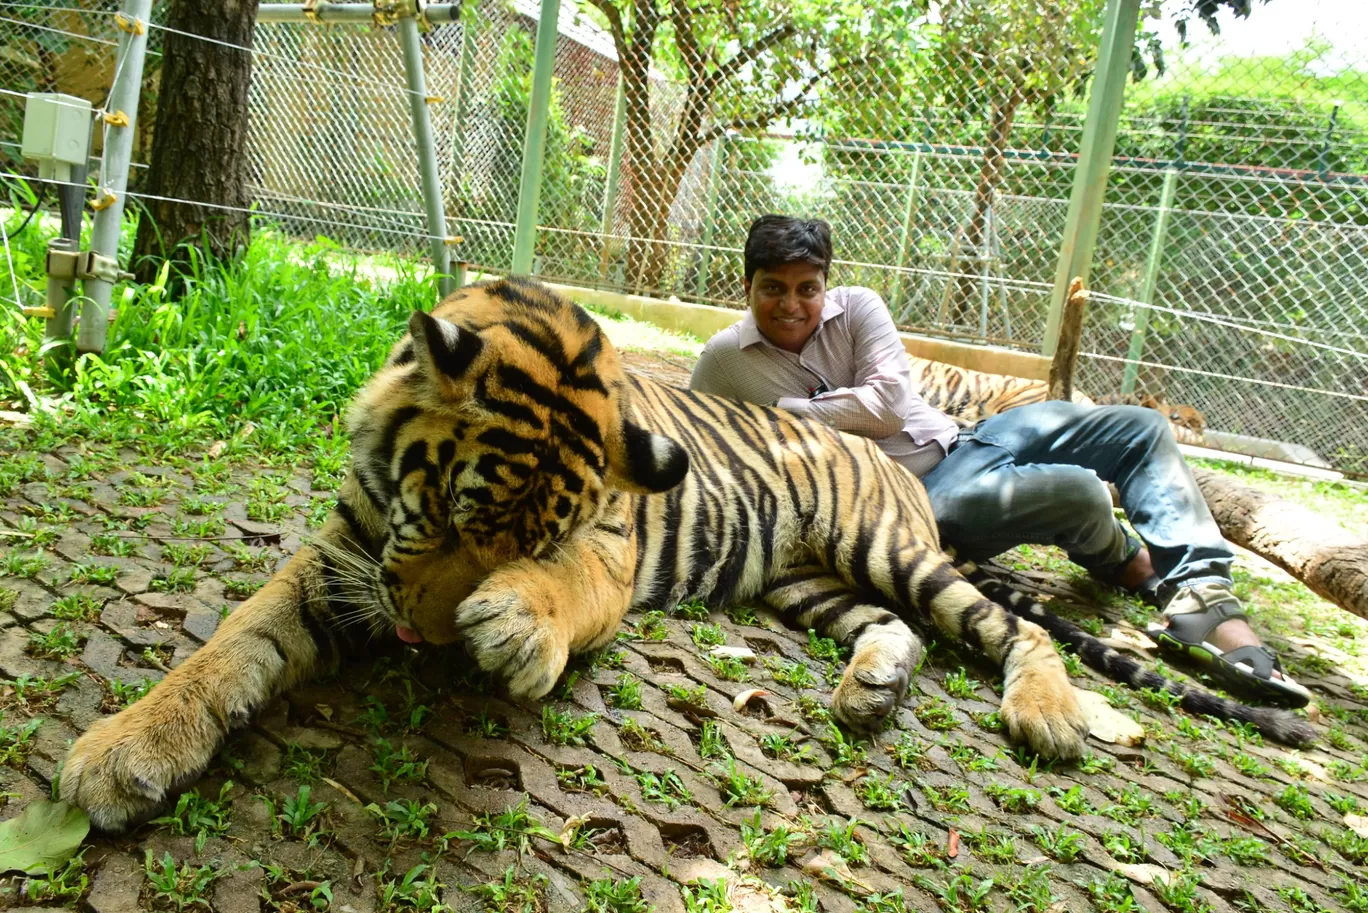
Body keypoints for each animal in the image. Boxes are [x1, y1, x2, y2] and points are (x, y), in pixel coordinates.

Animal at [58, 279, 1307, 837]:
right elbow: (227, 648)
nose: (419, 636)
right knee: (894, 631)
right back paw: (874, 689)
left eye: (534, 538)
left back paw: (1063, 714)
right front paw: (124, 750)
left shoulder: (608, 553)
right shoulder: (340, 557)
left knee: (1010, 628)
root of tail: (902, 471)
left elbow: (563, 592)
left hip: (888, 551)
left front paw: (515, 623)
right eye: (450, 512)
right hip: (809, 582)